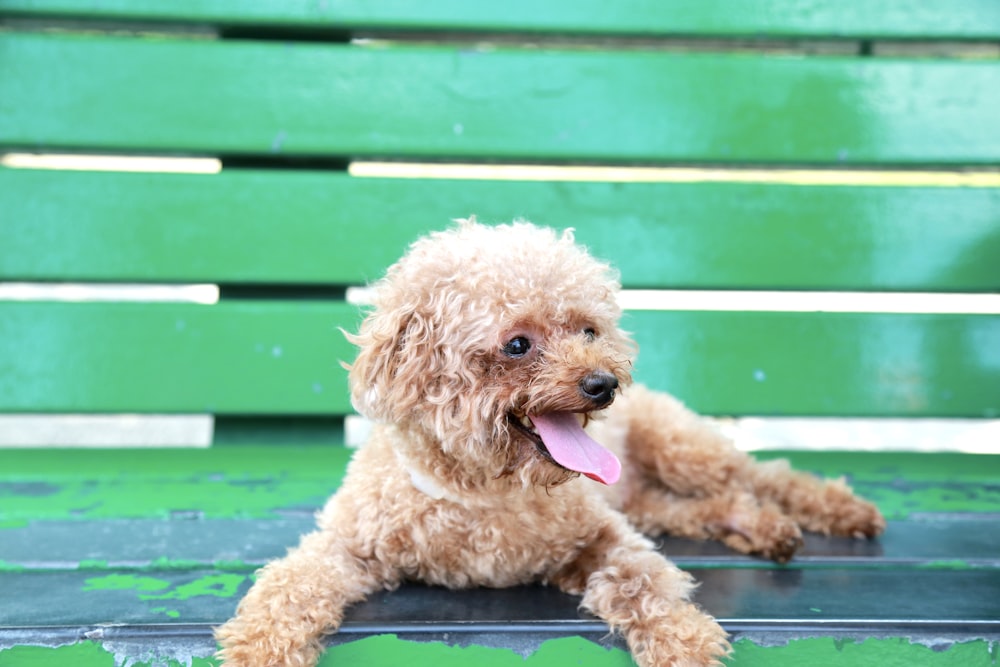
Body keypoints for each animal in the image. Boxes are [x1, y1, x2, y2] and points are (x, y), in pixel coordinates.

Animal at [217, 217, 884, 664]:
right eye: (518, 344)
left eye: (589, 329)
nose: (604, 384)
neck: (484, 490)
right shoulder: (350, 546)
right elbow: (288, 584)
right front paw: (259, 647)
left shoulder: (602, 536)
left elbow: (644, 578)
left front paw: (683, 640)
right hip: (642, 497)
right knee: (706, 507)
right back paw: (765, 529)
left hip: (682, 450)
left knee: (760, 476)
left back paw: (837, 510)